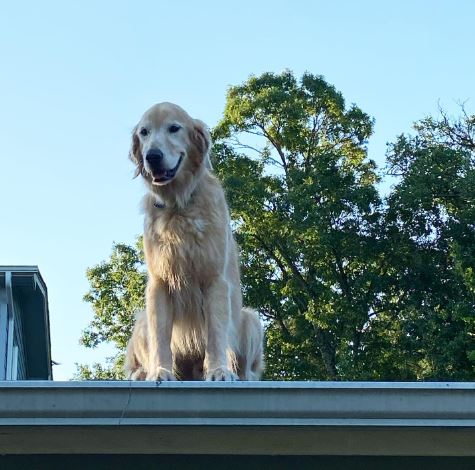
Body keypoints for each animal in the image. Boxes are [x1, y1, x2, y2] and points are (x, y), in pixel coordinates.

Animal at [124, 103, 264, 382]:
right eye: (144, 132)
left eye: (174, 128)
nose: (152, 156)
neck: (179, 205)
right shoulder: (159, 283)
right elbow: (161, 338)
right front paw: (160, 372)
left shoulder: (214, 279)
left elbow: (216, 334)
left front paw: (219, 370)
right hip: (142, 321)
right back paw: (141, 373)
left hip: (250, 320)